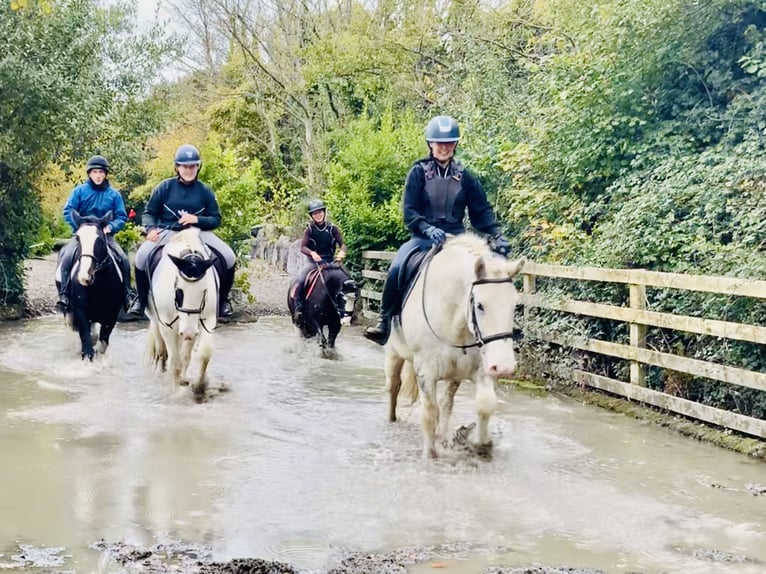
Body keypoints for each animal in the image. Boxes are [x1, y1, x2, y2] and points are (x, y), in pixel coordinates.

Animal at [57, 212, 124, 362]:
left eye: (100, 239)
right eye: (78, 238)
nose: (84, 276)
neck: (98, 284)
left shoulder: (111, 316)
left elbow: (102, 342)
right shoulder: (82, 313)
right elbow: (87, 345)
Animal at [147, 230, 219, 396]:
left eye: (204, 291)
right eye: (179, 291)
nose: (188, 332)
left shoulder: (207, 320)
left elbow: (202, 354)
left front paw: (198, 385)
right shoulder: (167, 325)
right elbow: (175, 361)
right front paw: (175, 391)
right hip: (157, 319)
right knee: (161, 350)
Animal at [384, 232, 528, 462]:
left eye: (514, 304)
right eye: (480, 305)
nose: (504, 367)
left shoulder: (481, 369)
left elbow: (485, 405)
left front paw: (480, 444)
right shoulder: (426, 372)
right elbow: (429, 413)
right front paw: (430, 454)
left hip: (454, 375)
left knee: (447, 402)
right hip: (393, 354)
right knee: (394, 386)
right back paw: (392, 420)